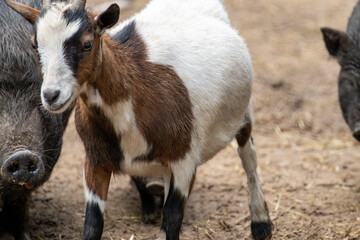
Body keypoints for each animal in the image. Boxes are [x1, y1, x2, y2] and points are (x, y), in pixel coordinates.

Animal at [4, 0, 272, 239]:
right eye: (35, 45)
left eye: (87, 44)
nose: (51, 95)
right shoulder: (95, 161)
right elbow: (92, 225)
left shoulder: (185, 161)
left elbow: (172, 220)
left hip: (243, 114)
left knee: (248, 158)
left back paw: (261, 223)